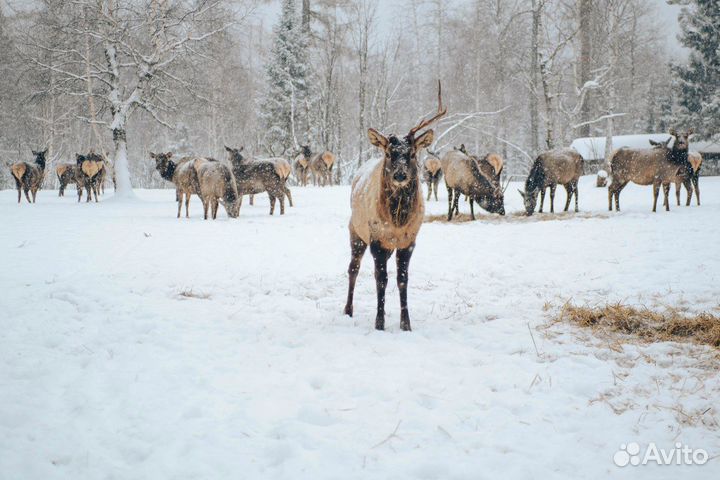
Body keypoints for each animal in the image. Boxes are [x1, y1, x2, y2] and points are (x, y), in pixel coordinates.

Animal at [344, 81, 444, 330]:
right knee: (353, 268)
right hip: (355, 231)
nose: (400, 175)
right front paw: (379, 322)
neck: (397, 221)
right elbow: (381, 279)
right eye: (390, 153)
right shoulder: (376, 238)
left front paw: (405, 324)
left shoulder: (409, 240)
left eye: (412, 153)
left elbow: (402, 280)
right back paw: (348, 309)